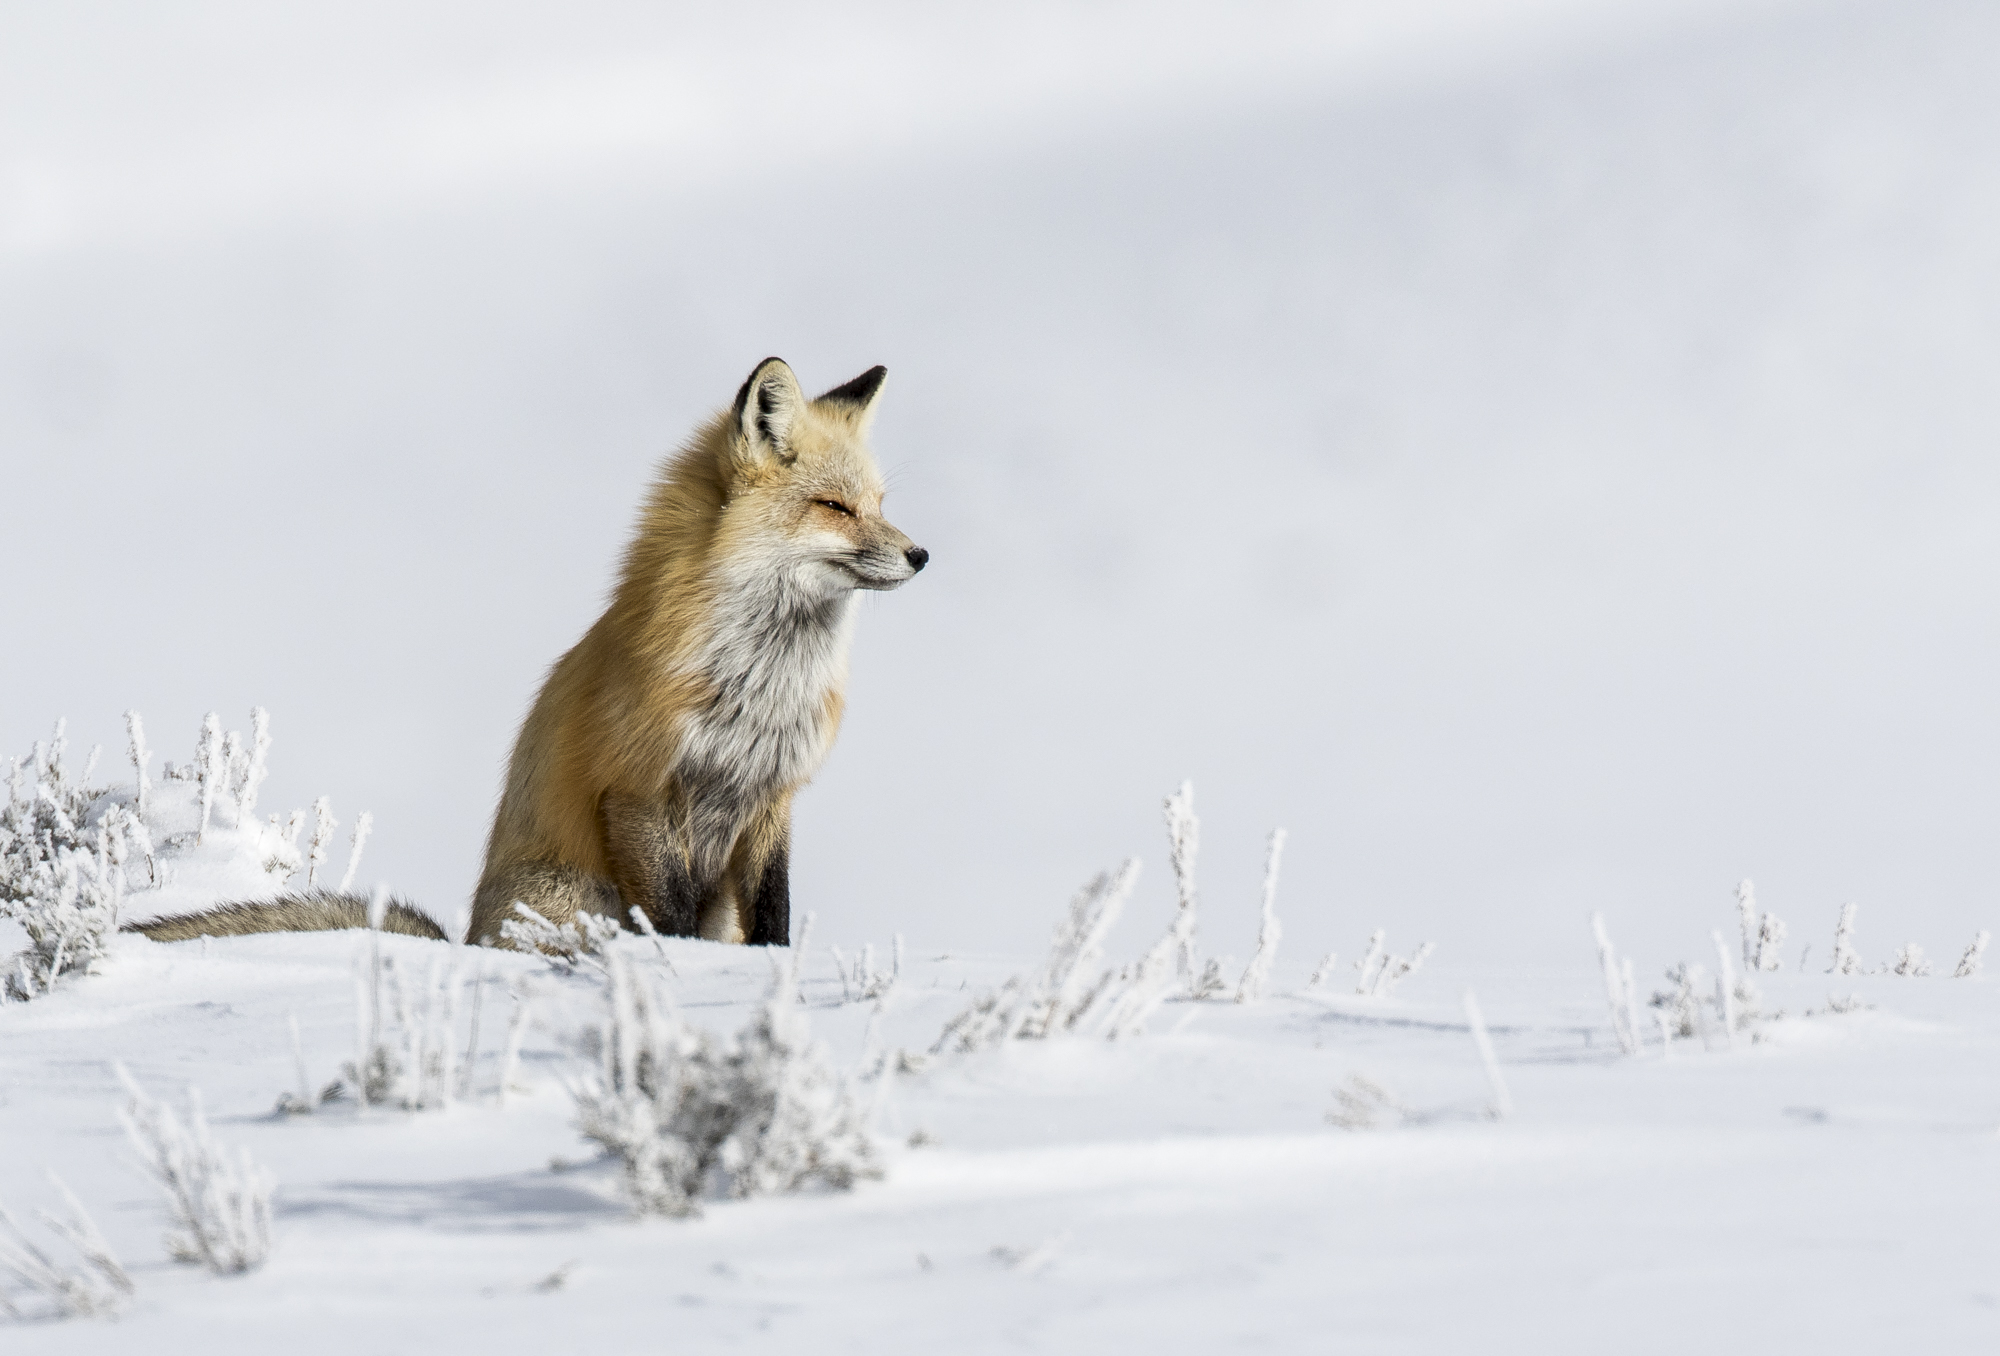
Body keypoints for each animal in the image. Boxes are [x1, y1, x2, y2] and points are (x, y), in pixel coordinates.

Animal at [131, 357, 925, 949]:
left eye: (880, 504)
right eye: (834, 507)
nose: (920, 555)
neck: (759, 682)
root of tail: (468, 942)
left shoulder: (770, 796)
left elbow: (773, 917)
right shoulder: (638, 789)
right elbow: (670, 920)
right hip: (579, 896)